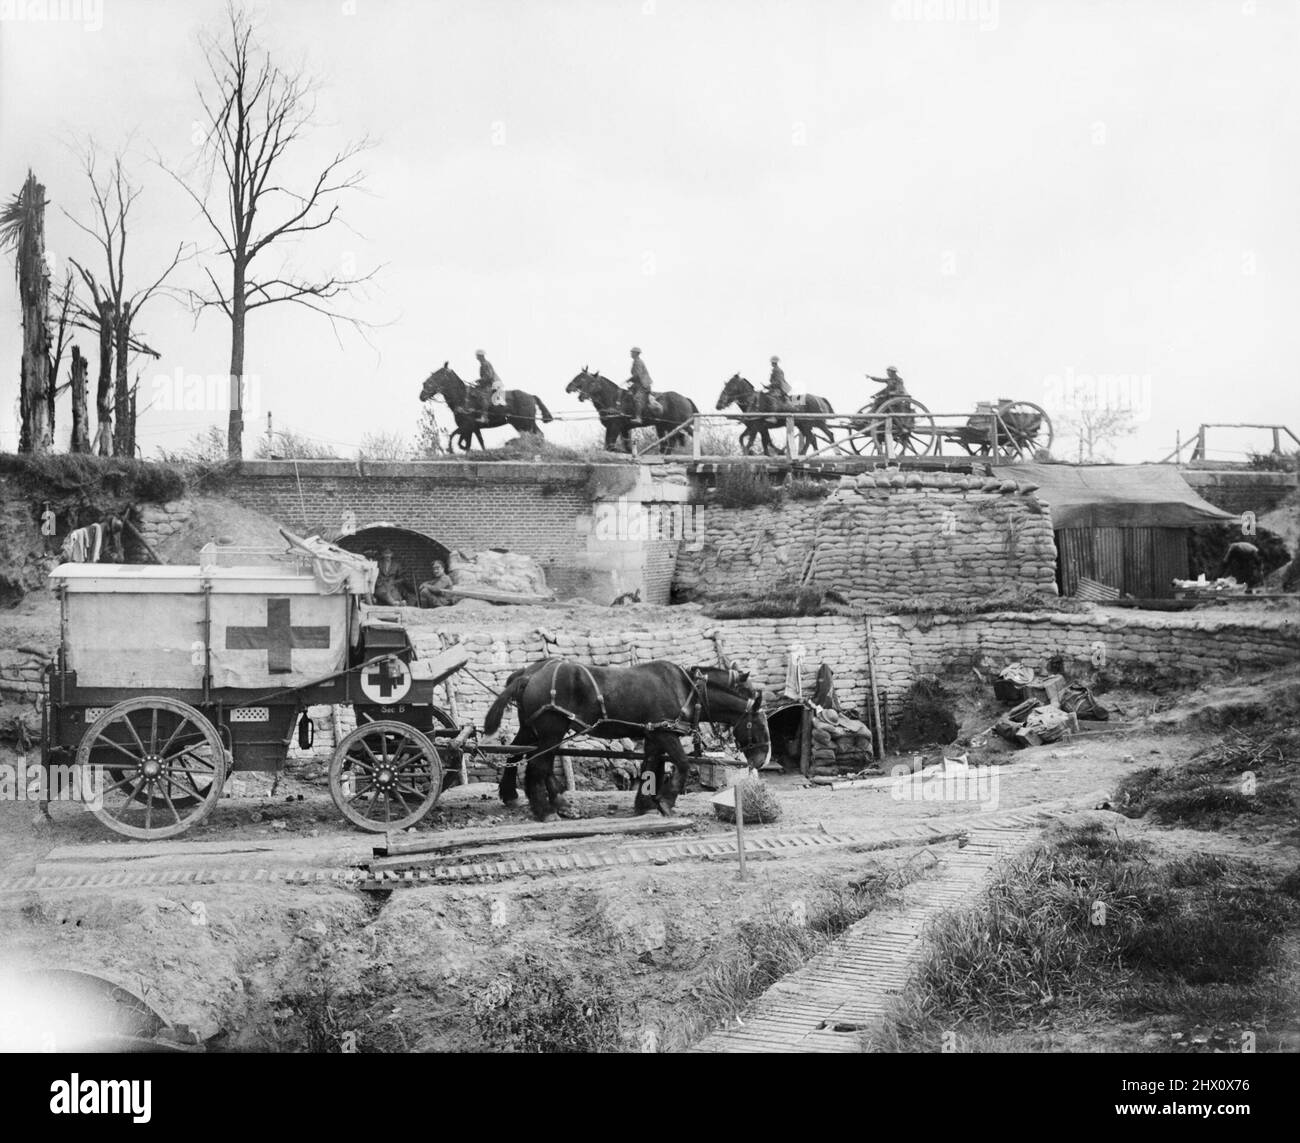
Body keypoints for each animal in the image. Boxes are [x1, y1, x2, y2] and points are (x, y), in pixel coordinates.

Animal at [421, 364, 553, 449]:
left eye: (436, 377)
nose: (421, 395)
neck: (463, 398)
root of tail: (531, 396)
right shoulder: (473, 428)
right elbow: (476, 443)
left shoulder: (467, 426)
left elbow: (455, 437)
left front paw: (451, 450)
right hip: (521, 423)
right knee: (537, 435)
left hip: (524, 423)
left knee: (537, 435)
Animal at [488, 660, 769, 821]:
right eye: (758, 724)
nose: (761, 759)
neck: (688, 691)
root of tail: (529, 676)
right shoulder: (665, 733)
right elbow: (682, 764)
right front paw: (666, 802)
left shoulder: (654, 735)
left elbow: (651, 767)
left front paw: (645, 803)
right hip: (551, 731)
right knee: (537, 766)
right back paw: (546, 811)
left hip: (533, 728)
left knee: (517, 754)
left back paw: (519, 795)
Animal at [564, 369, 696, 452]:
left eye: (589, 381)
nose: (568, 388)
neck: (613, 399)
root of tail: (685, 399)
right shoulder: (622, 429)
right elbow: (621, 446)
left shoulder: (615, 427)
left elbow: (611, 446)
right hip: (666, 426)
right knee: (669, 443)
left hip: (679, 424)